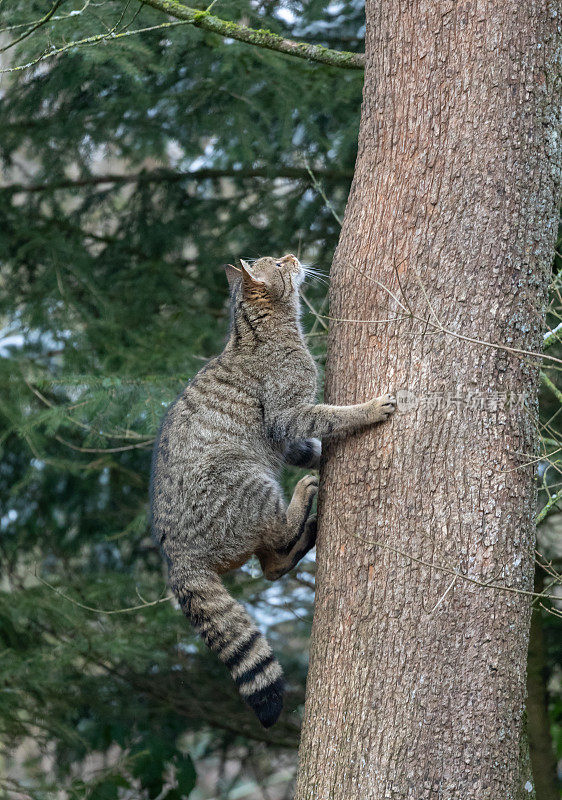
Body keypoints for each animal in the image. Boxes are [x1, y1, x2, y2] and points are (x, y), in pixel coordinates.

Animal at [149, 255, 394, 724]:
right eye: (279, 262)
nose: (292, 256)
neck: (254, 329)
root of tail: (177, 557)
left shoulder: (290, 436)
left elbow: (309, 445)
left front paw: (319, 456)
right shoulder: (287, 414)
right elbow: (329, 416)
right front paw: (366, 410)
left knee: (271, 564)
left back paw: (306, 531)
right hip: (245, 477)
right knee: (275, 537)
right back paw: (300, 504)